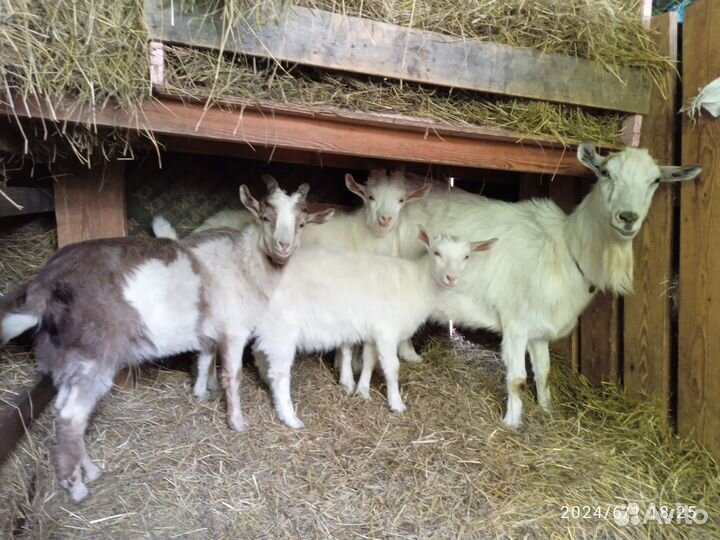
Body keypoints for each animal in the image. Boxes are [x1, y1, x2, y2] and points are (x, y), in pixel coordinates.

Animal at [0, 179, 331, 503]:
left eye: (302, 223)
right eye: (265, 217)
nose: (283, 246)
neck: (243, 261)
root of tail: (44, 283)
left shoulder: (210, 330)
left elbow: (204, 358)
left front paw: (201, 391)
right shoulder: (234, 329)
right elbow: (233, 376)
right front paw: (237, 422)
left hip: (66, 355)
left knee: (62, 411)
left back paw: (90, 470)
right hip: (92, 354)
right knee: (71, 417)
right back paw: (77, 487)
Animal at [252, 227, 496, 429]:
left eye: (466, 256)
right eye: (436, 253)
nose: (451, 278)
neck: (417, 281)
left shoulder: (373, 330)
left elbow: (369, 360)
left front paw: (362, 391)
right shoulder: (387, 331)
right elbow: (392, 367)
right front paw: (396, 403)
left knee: (259, 353)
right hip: (281, 326)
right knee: (279, 371)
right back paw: (289, 416)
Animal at [390, 143, 701, 427]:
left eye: (655, 180)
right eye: (605, 172)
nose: (628, 217)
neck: (564, 249)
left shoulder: (540, 326)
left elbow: (544, 371)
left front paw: (547, 409)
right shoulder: (515, 322)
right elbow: (517, 379)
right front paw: (512, 423)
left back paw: (410, 356)